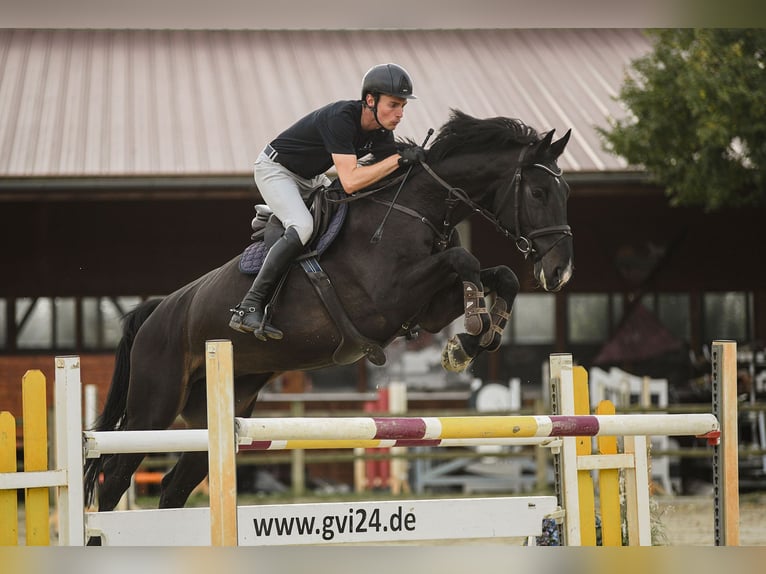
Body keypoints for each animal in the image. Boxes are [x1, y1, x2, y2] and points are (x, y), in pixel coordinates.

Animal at [85, 108, 576, 516]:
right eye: (537, 191)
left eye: (564, 191)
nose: (560, 270)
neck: (415, 209)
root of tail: (156, 312)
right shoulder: (388, 297)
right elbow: (465, 260)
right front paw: (471, 334)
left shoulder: (429, 307)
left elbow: (500, 275)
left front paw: (473, 340)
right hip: (153, 409)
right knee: (112, 481)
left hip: (220, 408)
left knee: (173, 486)